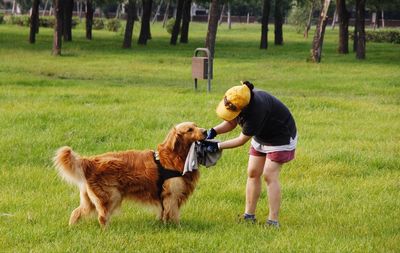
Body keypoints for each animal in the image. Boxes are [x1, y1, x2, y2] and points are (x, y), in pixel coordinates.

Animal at [53, 122, 206, 227]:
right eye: (190, 129)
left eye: (196, 125)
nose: (205, 131)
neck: (175, 156)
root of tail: (90, 161)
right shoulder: (172, 195)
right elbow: (173, 214)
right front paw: (176, 227)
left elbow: (164, 213)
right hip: (112, 196)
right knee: (102, 217)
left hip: (90, 200)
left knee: (76, 212)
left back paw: (72, 227)